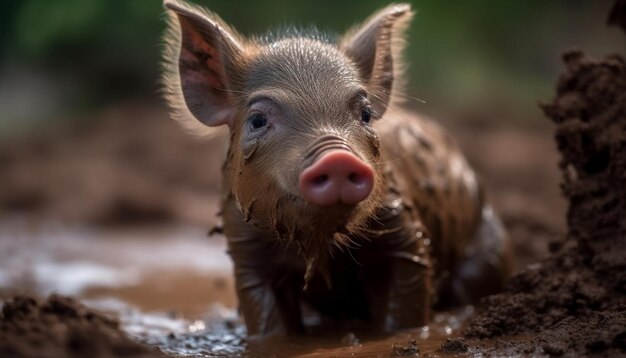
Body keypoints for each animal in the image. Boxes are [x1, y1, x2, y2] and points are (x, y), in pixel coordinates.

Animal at [163, 0, 510, 336]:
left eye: (366, 114)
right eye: (258, 120)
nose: (338, 158)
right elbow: (268, 323)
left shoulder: (404, 229)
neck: (320, 248)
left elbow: (404, 309)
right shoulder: (245, 250)